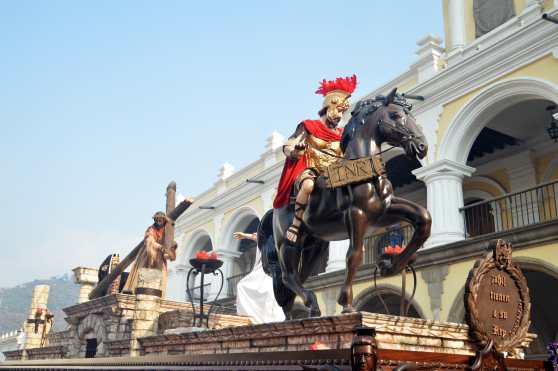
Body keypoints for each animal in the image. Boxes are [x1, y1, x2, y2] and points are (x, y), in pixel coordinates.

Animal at [260, 88, 434, 318]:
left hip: (314, 246)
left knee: (297, 278)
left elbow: (423, 219)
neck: (365, 171)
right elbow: (354, 256)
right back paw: (310, 302)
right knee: (288, 276)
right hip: (287, 245)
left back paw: (303, 310)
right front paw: (346, 302)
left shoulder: (383, 211)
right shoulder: (357, 214)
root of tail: (275, 211)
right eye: (396, 115)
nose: (422, 146)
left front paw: (390, 265)